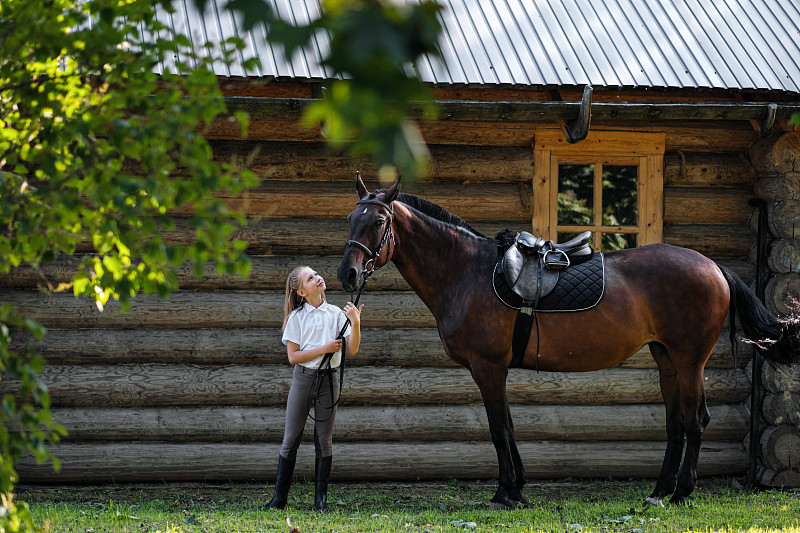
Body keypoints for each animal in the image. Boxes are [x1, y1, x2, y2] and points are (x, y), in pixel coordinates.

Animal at [334, 175, 792, 508]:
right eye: (349, 220)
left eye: (378, 223)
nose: (348, 274)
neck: (466, 271)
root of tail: (714, 267)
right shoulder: (496, 370)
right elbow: (509, 426)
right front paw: (516, 488)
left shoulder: (488, 367)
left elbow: (499, 428)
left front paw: (505, 493)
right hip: (667, 359)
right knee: (677, 423)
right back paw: (659, 491)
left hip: (690, 359)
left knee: (694, 422)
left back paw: (680, 494)